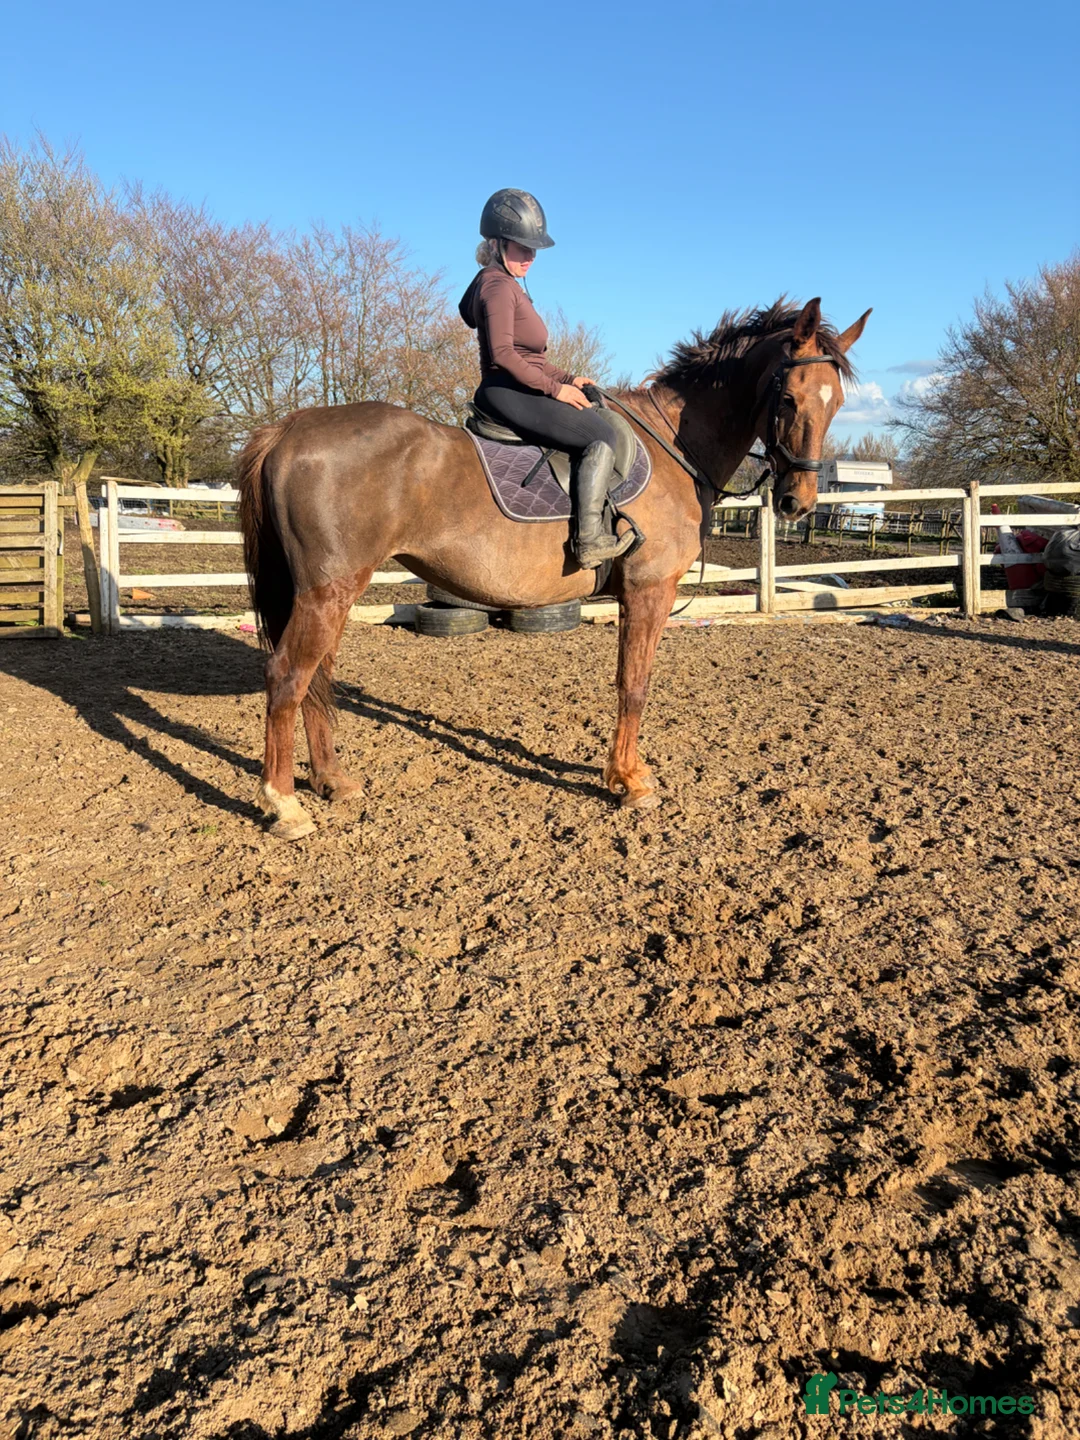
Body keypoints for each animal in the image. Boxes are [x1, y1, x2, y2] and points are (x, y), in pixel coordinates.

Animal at [237, 296, 870, 840]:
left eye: (836, 403)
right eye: (787, 398)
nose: (797, 503)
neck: (674, 445)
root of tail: (288, 428)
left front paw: (627, 774)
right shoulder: (648, 590)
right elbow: (634, 684)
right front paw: (629, 782)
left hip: (329, 593)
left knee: (316, 678)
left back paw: (331, 782)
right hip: (328, 591)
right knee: (288, 676)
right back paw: (284, 804)